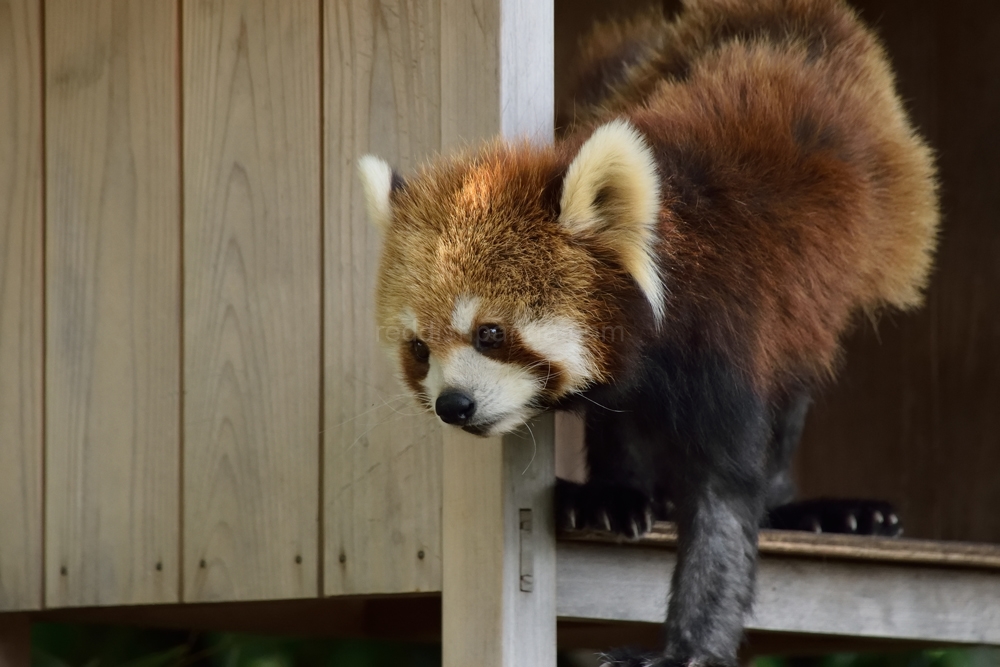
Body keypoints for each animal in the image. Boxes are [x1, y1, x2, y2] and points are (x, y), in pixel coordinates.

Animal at [358, 1, 936, 667]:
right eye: (419, 350)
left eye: (490, 333)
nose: (453, 405)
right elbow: (622, 420)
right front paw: (613, 495)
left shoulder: (730, 334)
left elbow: (724, 495)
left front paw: (687, 645)